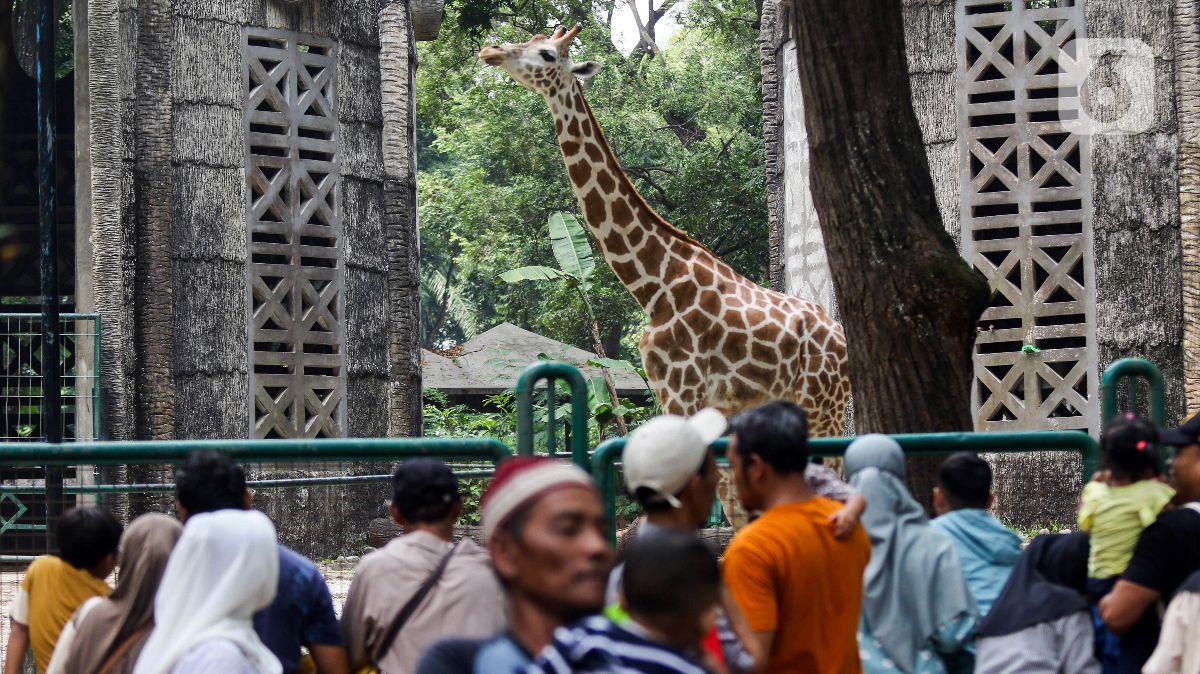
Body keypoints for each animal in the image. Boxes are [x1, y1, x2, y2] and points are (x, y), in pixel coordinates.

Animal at [477, 24, 854, 520]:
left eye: (546, 53)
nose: (491, 50)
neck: (653, 283)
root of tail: (844, 341)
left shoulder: (683, 391)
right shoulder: (679, 395)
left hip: (824, 404)